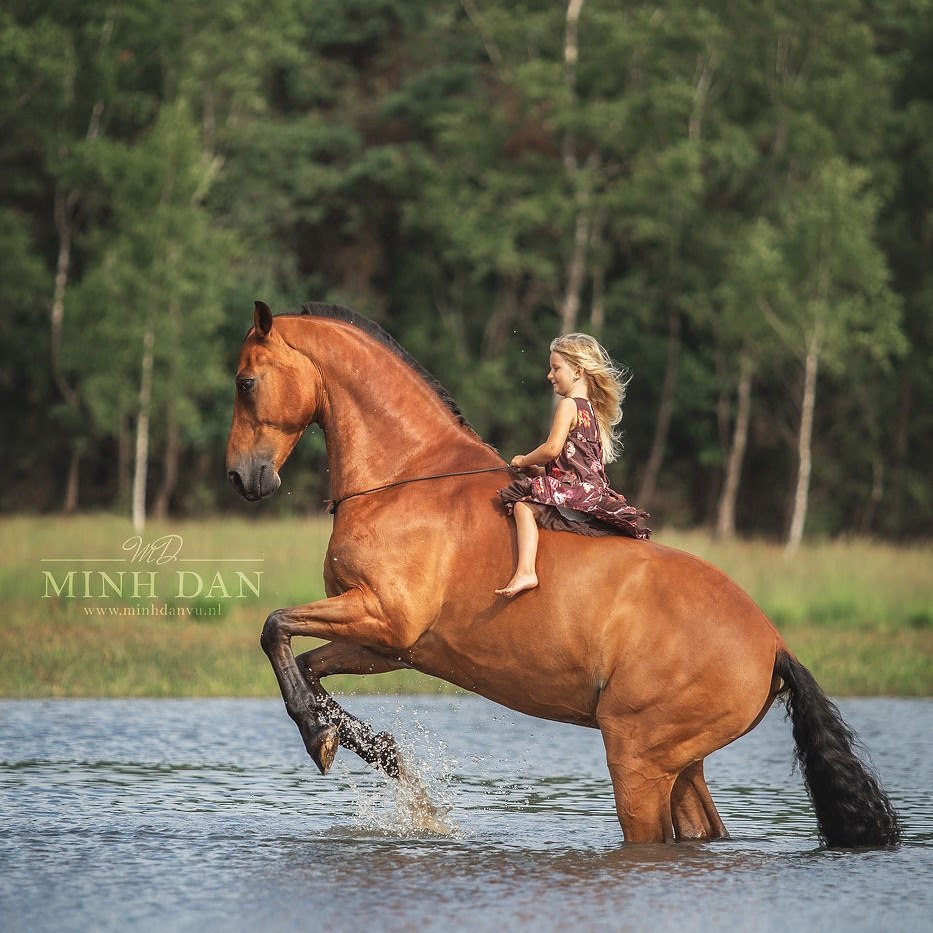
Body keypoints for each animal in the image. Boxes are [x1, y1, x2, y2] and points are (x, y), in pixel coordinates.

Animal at [222, 302, 900, 848]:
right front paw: (363, 747)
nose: (240, 478)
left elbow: (273, 628)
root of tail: (774, 645)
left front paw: (317, 734)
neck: (405, 479)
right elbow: (308, 665)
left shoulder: (385, 618)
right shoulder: (391, 645)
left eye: (245, 381)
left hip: (639, 760)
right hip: (683, 767)